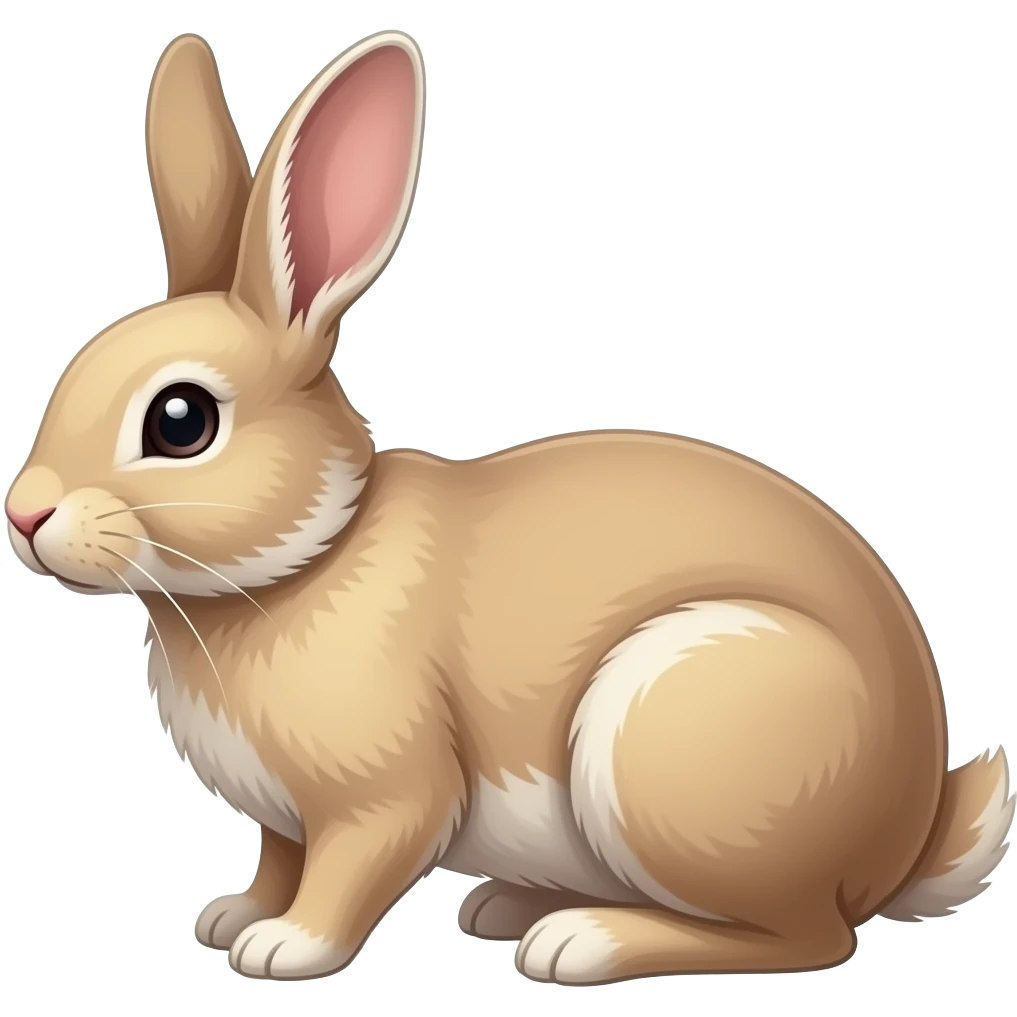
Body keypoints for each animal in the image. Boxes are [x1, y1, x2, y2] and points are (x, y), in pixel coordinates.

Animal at [4, 28, 1014, 987]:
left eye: (181, 420)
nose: (24, 516)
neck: (306, 559)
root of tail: (908, 832)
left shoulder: (385, 796)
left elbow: (348, 872)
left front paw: (284, 947)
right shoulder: (284, 819)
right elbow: (278, 860)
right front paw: (231, 916)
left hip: (669, 737)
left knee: (806, 934)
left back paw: (581, 940)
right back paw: (511, 905)